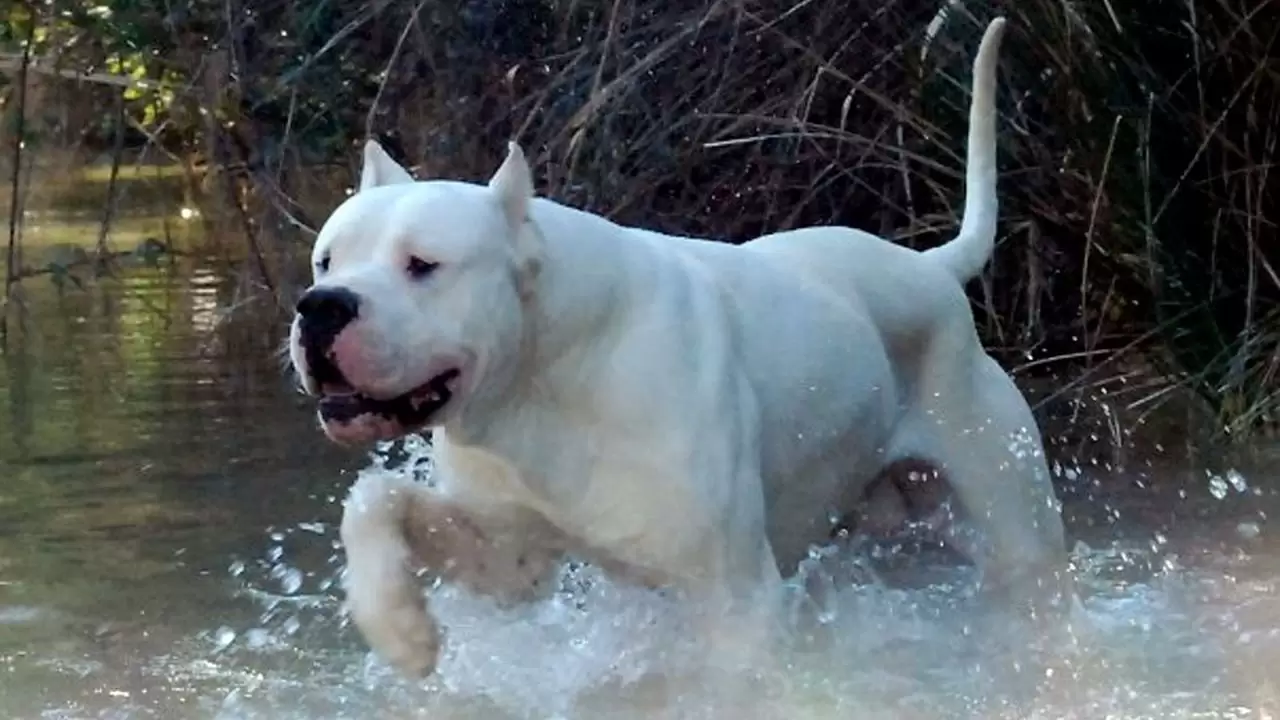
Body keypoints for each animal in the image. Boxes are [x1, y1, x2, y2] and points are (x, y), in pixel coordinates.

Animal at [288, 18, 1070, 676]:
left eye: (423, 265)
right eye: (325, 262)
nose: (321, 307)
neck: (543, 377)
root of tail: (931, 266)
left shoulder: (736, 600)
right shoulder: (511, 556)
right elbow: (374, 499)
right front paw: (397, 625)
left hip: (1015, 528)